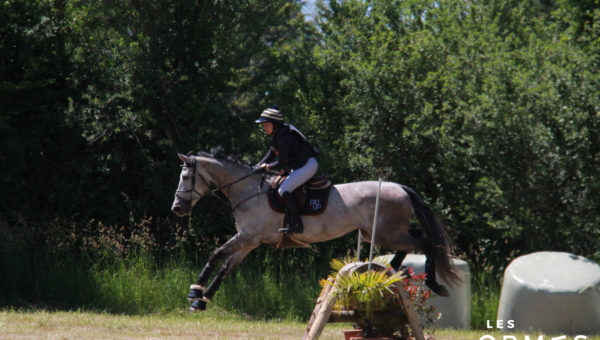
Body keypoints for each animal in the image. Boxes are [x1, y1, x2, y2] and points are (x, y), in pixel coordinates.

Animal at [171, 150, 462, 310]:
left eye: (185, 177)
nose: (177, 208)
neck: (247, 189)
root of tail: (401, 187)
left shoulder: (248, 237)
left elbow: (216, 255)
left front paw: (195, 290)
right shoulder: (249, 241)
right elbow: (225, 267)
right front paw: (201, 300)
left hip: (386, 232)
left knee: (426, 244)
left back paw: (433, 283)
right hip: (378, 234)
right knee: (412, 244)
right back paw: (391, 269)